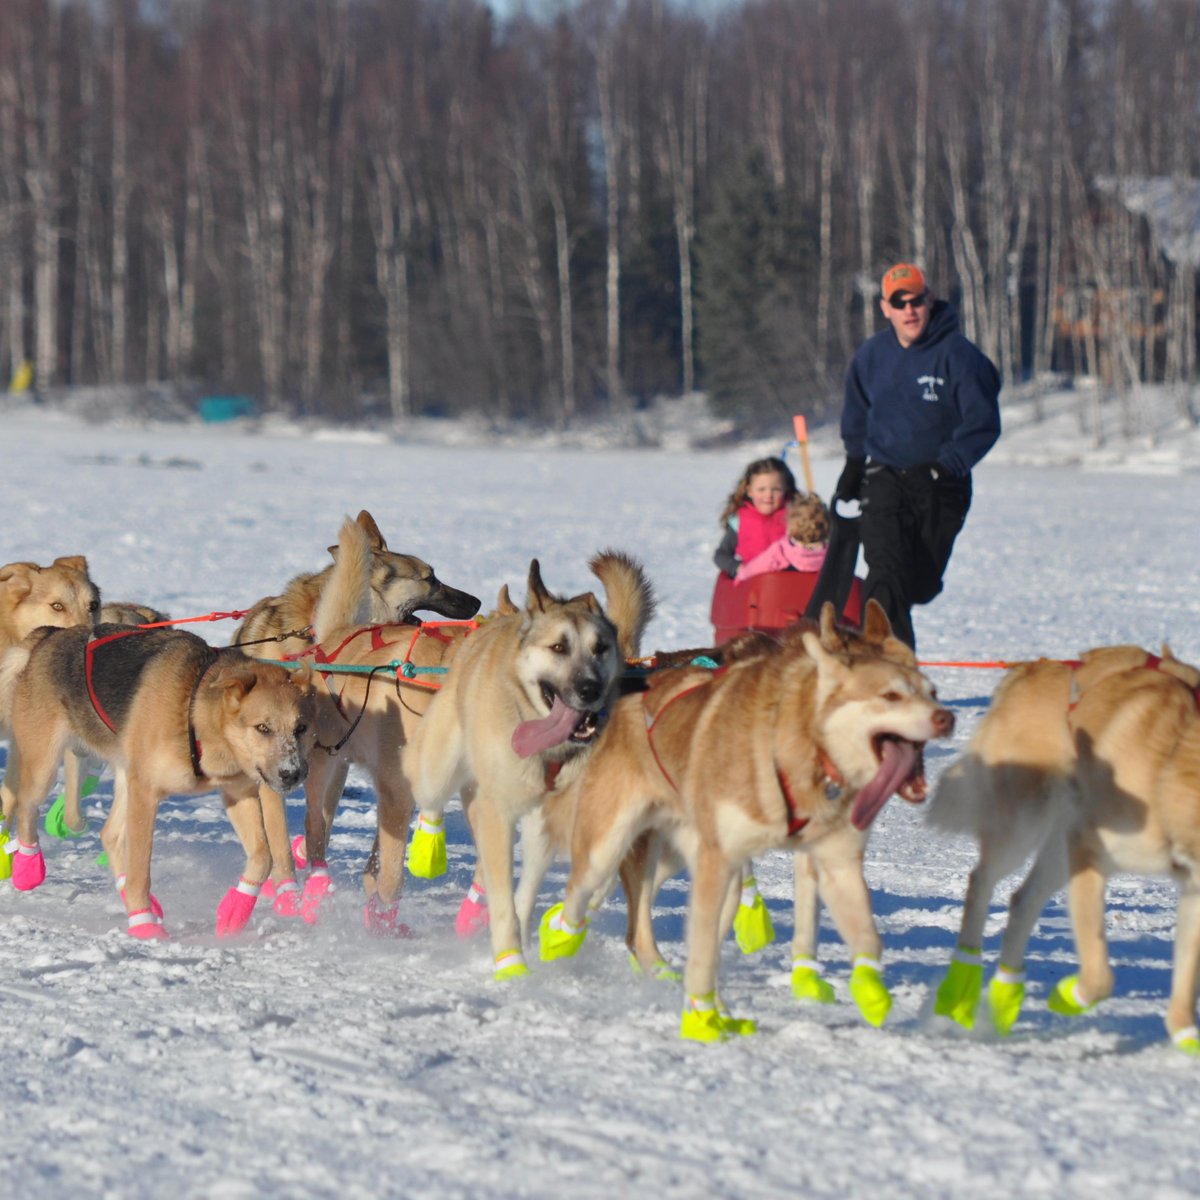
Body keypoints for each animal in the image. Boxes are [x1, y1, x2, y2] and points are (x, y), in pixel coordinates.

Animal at [0, 624, 314, 940]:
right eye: (263, 728)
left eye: (301, 728)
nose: (292, 772)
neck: (193, 712)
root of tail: (51, 633)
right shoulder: (146, 793)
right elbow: (140, 869)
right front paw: (143, 922)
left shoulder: (238, 793)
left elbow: (263, 856)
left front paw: (236, 908)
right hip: (45, 767)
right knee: (26, 806)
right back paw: (28, 867)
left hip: (125, 775)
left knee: (110, 835)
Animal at [400, 552, 657, 974]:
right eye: (558, 647)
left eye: (600, 648)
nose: (589, 688)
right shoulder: (497, 810)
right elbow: (503, 893)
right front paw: (510, 962)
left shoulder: (557, 817)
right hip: (436, 766)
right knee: (430, 796)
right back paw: (426, 850)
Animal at [535, 604, 955, 1046]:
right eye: (890, 695)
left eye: (931, 691)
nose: (943, 718)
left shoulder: (826, 855)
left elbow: (836, 923)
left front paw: (837, 985)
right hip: (615, 840)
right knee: (597, 891)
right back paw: (563, 936)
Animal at [926, 638, 1200, 1051]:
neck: (1169, 766)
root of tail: (1029, 668)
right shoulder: (1089, 849)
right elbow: (1100, 974)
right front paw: (1070, 995)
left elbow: (1185, 979)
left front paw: (1185, 1034)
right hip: (1024, 827)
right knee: (981, 883)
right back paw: (963, 983)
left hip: (1059, 844)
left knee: (1022, 900)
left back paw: (1006, 995)